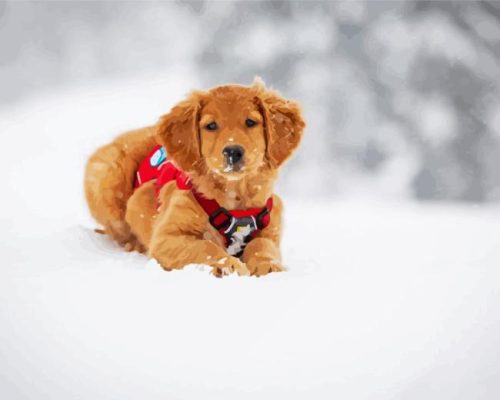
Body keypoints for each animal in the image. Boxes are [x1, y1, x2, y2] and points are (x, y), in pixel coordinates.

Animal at [85, 79, 304, 276]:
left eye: (251, 122)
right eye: (211, 126)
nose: (233, 152)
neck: (234, 198)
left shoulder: (271, 223)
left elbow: (262, 244)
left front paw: (269, 264)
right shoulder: (164, 235)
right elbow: (205, 247)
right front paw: (227, 265)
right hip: (106, 176)